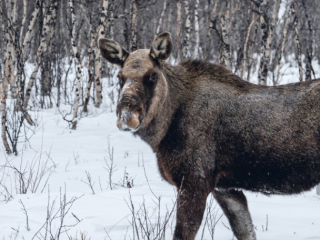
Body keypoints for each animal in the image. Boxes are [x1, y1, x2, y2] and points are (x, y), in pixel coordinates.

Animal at [99, 32, 320, 240]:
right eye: (119, 77)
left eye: (152, 76)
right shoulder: (226, 189)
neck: (162, 133)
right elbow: (246, 231)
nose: (127, 116)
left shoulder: (194, 183)